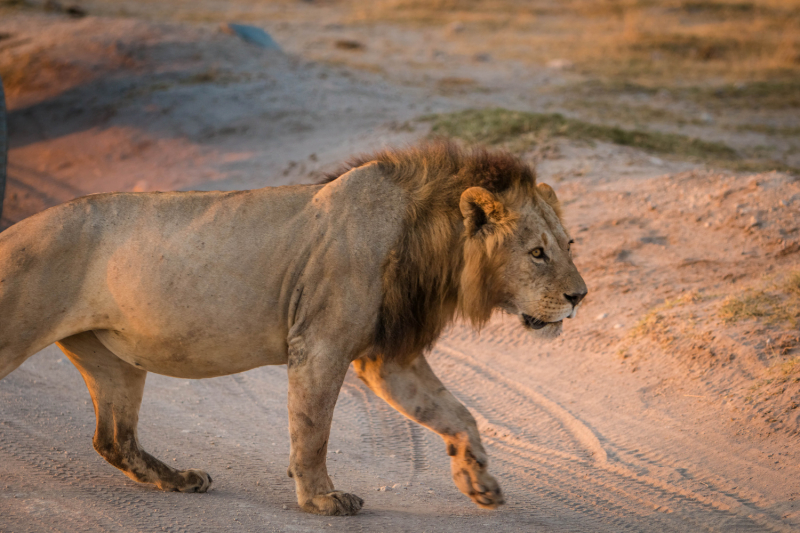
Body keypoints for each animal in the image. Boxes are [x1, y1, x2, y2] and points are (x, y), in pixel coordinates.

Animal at [0, 141, 588, 516]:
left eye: (569, 245)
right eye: (537, 254)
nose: (579, 297)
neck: (429, 244)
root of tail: (14, 231)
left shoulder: (386, 357)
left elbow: (456, 413)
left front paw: (478, 481)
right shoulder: (321, 345)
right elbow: (313, 432)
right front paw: (322, 499)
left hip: (112, 361)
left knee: (113, 439)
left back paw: (180, 479)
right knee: (109, 436)